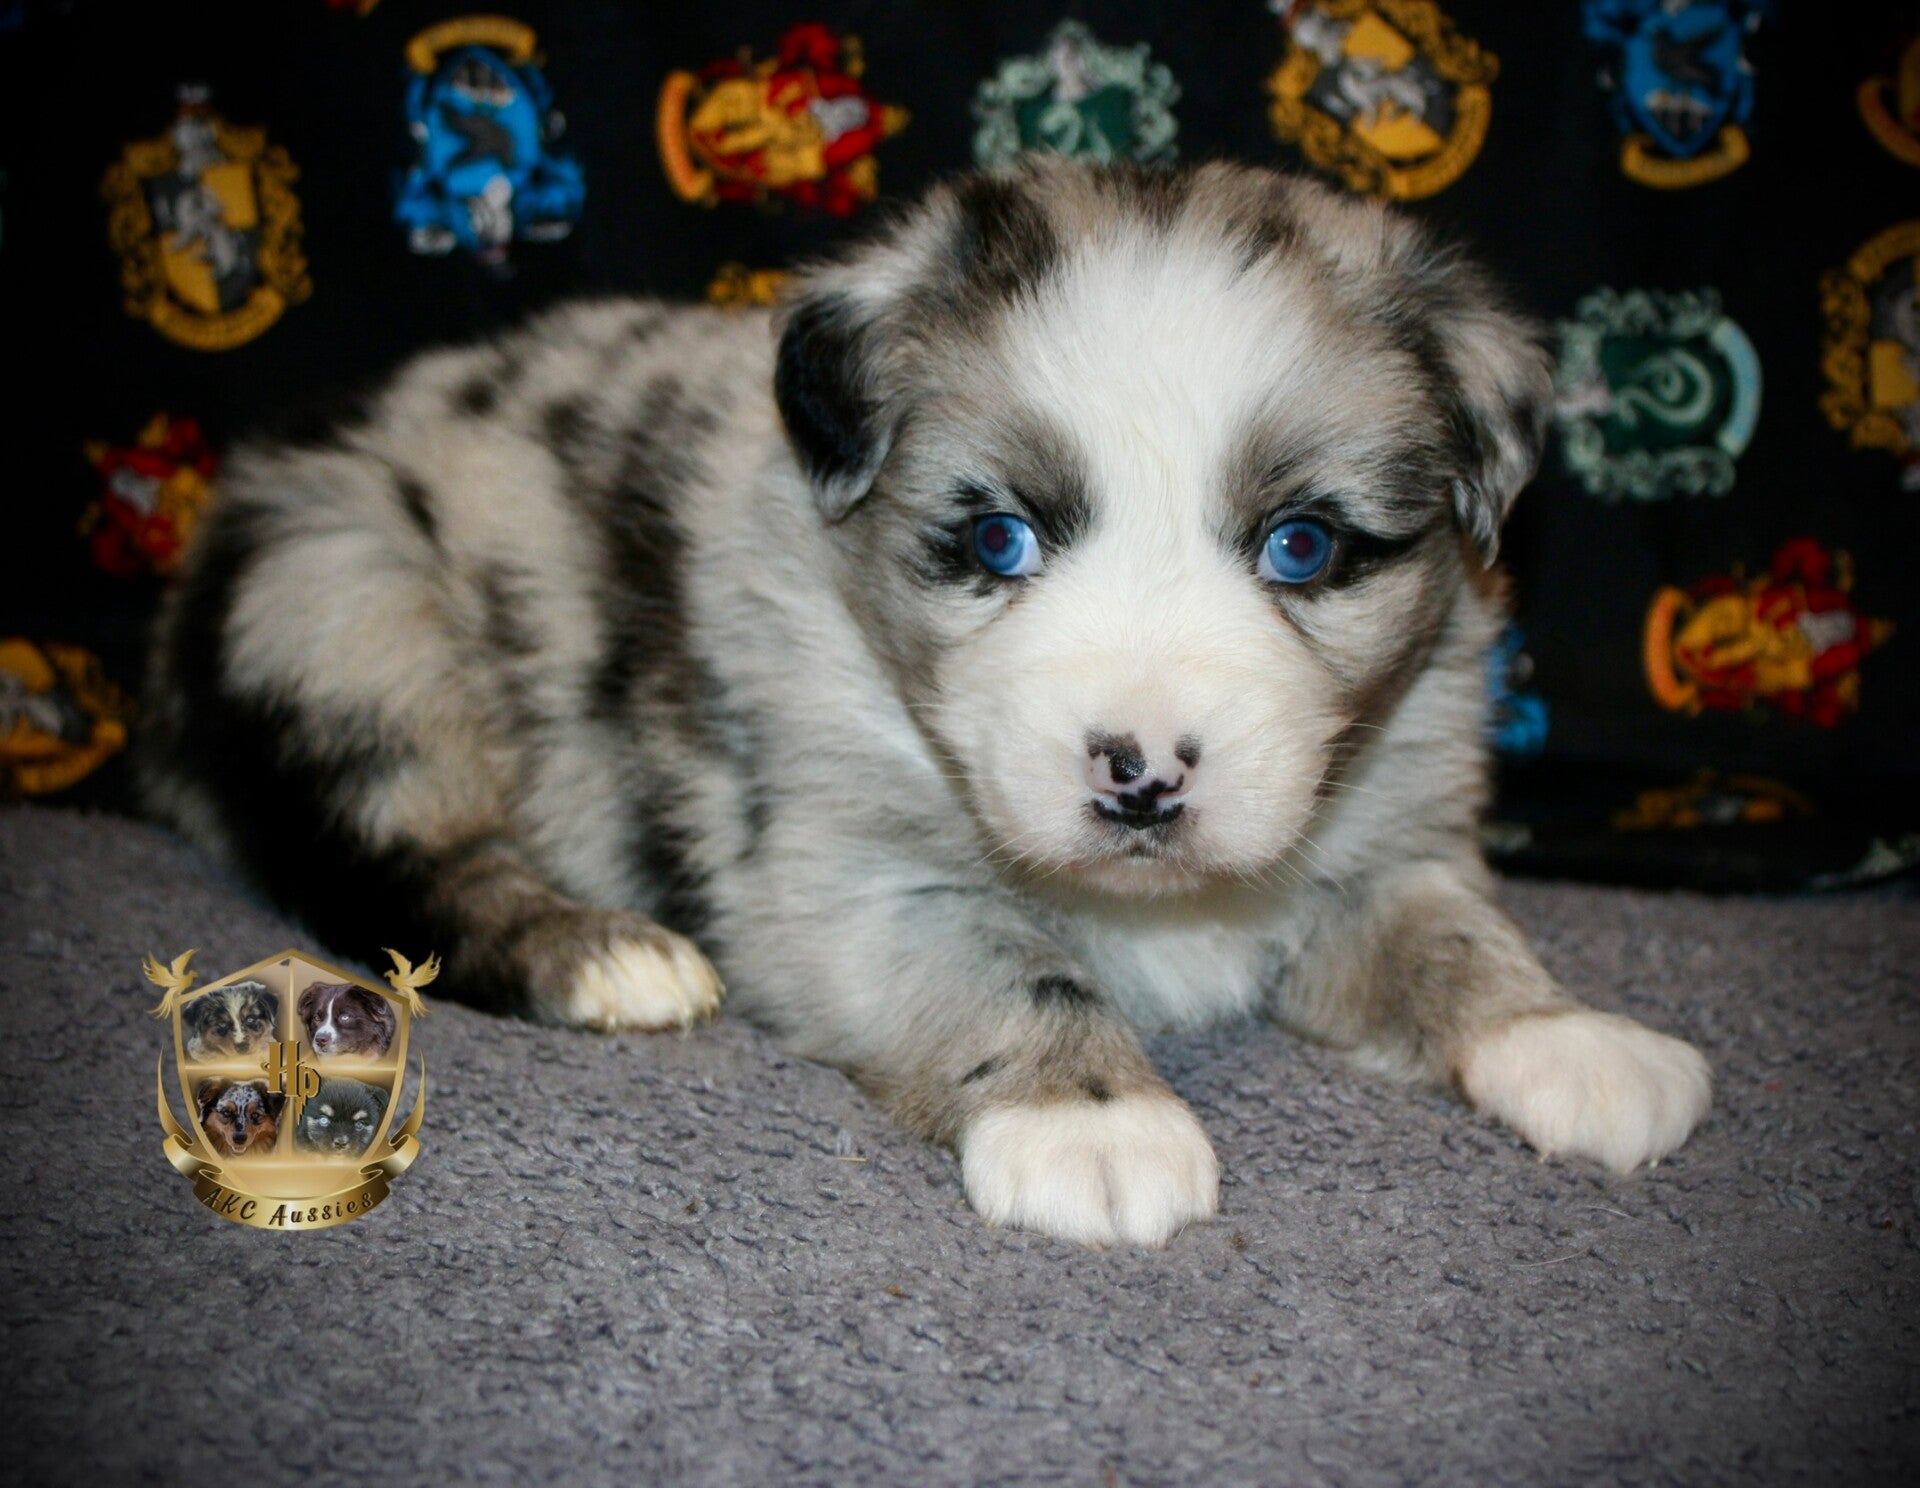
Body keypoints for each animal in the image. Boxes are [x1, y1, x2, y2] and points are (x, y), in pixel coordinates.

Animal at [139, 159, 1711, 1246]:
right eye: (997, 540)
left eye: (1305, 548)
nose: (1143, 774)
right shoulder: (846, 882)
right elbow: (1008, 964)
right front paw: (1094, 1120)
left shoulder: (1382, 837)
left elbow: (1454, 937)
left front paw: (1569, 1038)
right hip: (351, 608)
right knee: (402, 862)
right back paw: (608, 956)